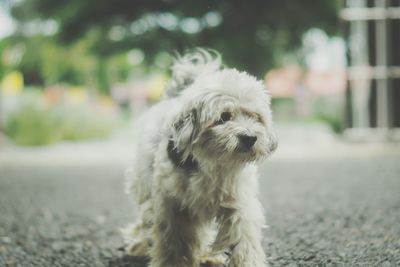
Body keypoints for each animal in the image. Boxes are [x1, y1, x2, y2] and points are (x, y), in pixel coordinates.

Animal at [123, 48, 276, 267]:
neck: (214, 163)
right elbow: (173, 242)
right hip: (145, 186)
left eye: (255, 117)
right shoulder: (172, 207)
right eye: (224, 117)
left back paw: (205, 255)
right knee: (146, 219)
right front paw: (172, 263)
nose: (249, 138)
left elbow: (243, 237)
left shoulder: (239, 202)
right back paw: (140, 245)